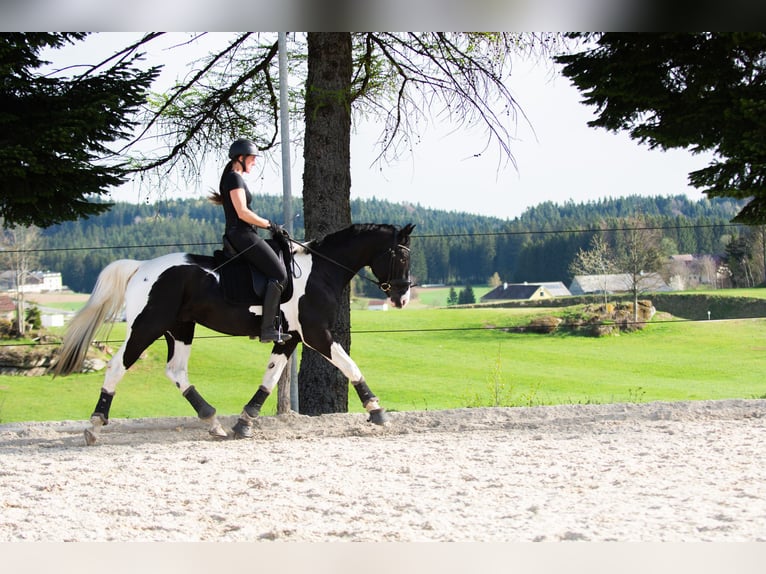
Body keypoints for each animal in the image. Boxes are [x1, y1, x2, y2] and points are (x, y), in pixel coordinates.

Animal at [54, 224, 416, 446]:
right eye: (401, 255)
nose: (401, 298)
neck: (321, 271)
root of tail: (141, 267)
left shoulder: (289, 338)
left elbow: (270, 378)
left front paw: (244, 422)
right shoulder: (315, 333)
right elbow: (349, 365)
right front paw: (377, 411)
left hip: (180, 328)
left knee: (176, 371)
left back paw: (213, 421)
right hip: (147, 326)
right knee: (118, 366)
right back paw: (93, 426)